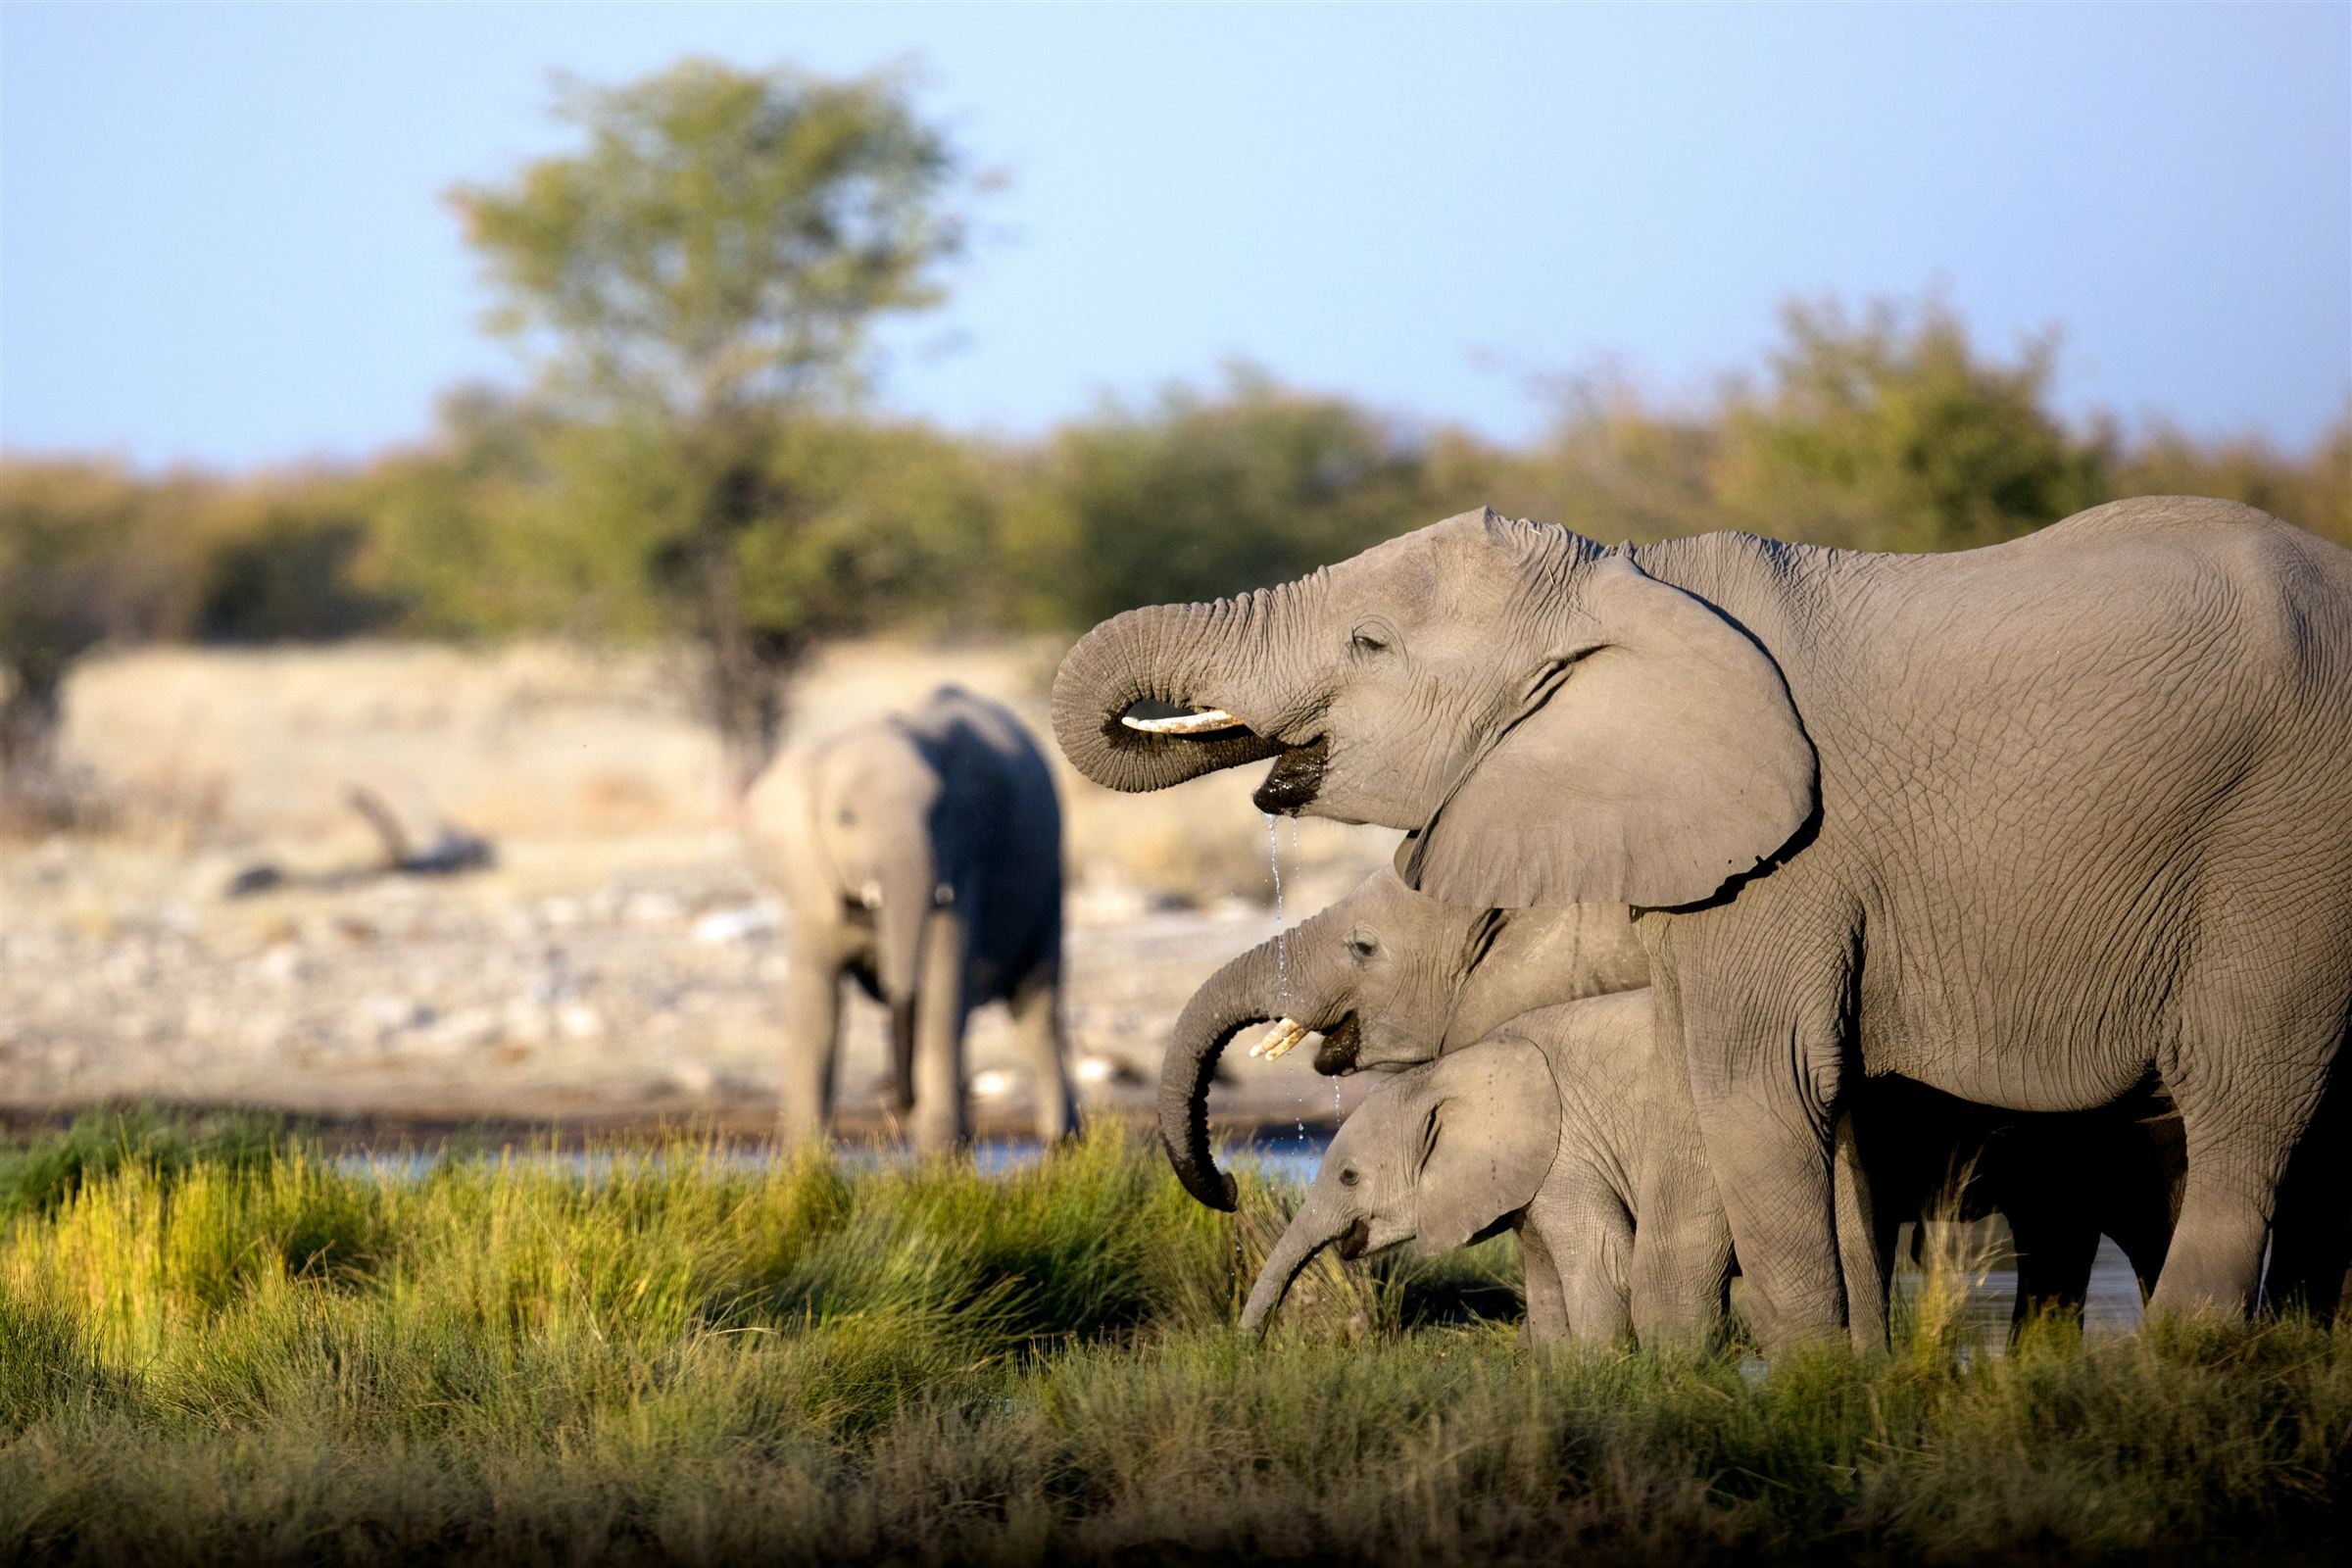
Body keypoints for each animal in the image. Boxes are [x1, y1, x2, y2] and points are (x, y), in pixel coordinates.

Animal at [744, 685, 1078, 1152]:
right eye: (846, 819)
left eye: (938, 813)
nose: (896, 1096)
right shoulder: (813, 881)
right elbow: (817, 1008)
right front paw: (803, 1159)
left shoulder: (963, 857)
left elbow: (941, 986)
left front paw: (939, 1156)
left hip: (1050, 884)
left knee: (1036, 1007)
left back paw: (1063, 1145)